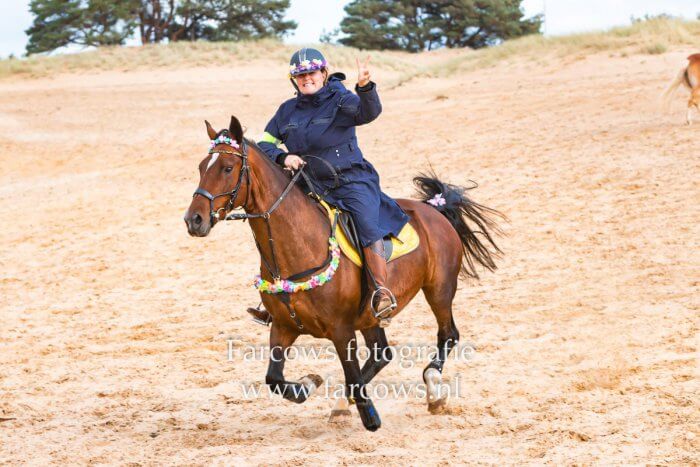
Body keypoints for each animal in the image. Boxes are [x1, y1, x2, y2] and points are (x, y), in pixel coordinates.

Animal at [185, 116, 504, 432]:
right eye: (201, 167)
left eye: (227, 168)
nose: (194, 219)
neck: (299, 247)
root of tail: (433, 210)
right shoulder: (283, 326)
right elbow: (274, 379)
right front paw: (309, 383)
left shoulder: (341, 330)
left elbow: (351, 373)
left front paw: (369, 415)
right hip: (372, 317)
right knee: (381, 354)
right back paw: (342, 403)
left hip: (439, 289)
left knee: (447, 335)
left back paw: (434, 390)